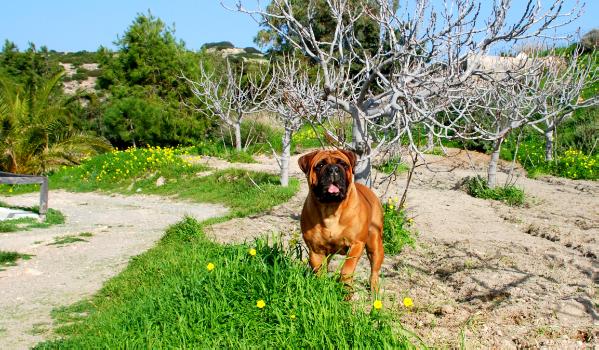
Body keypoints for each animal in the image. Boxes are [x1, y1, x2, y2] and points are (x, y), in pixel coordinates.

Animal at [298, 149, 384, 292]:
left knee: (374, 270)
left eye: (343, 164)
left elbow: (347, 269)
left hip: (375, 244)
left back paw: (374, 289)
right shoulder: (316, 251)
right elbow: (319, 271)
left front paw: (346, 288)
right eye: (320, 165)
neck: (331, 208)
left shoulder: (356, 244)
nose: (333, 169)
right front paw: (321, 288)